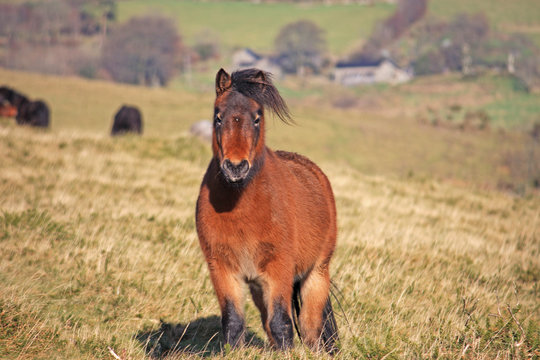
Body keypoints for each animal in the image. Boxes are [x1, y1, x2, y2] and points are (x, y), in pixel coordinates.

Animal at [194, 69, 338, 352]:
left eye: (257, 117)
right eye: (218, 116)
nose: (235, 167)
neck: (242, 209)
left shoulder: (279, 268)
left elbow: (281, 322)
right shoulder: (222, 269)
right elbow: (234, 322)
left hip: (316, 274)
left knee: (310, 327)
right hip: (259, 287)